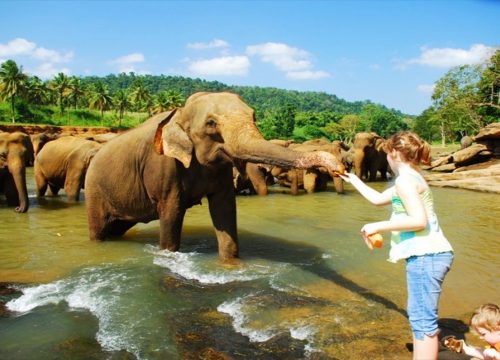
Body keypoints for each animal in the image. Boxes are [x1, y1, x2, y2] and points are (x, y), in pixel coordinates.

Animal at [86, 92, 344, 262]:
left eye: (254, 116)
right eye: (211, 123)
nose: (340, 167)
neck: (180, 111)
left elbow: (224, 209)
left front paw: (230, 263)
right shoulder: (164, 168)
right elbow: (171, 212)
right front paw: (169, 255)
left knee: (117, 227)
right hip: (94, 191)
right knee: (99, 230)